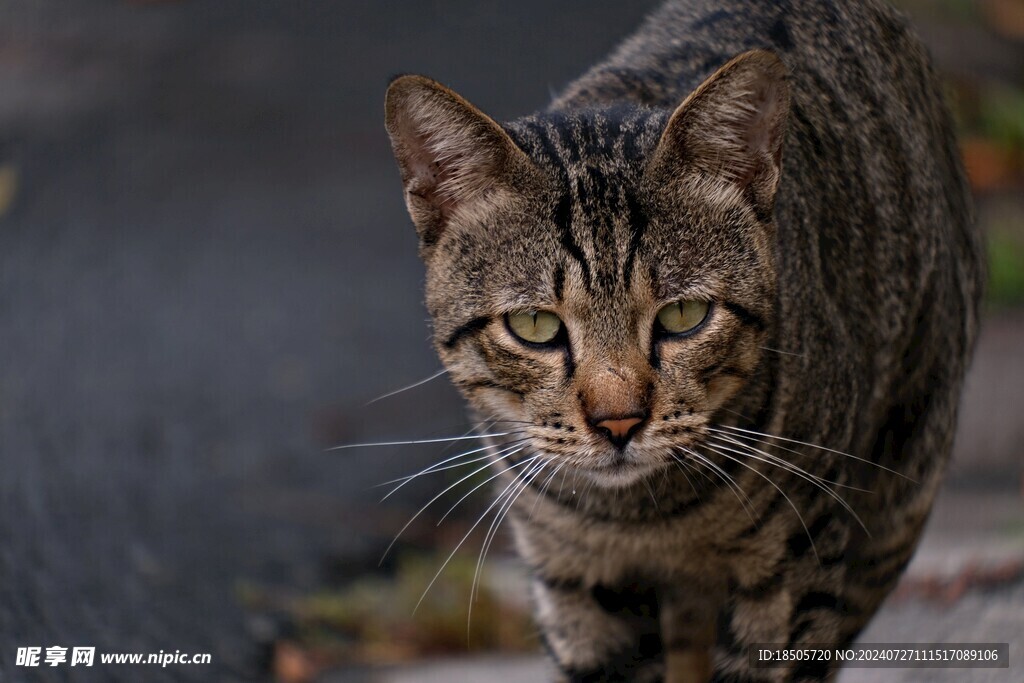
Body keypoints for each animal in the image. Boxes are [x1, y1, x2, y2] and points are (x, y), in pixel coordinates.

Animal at [380, 1, 978, 679]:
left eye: (684, 316)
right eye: (535, 325)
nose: (618, 422)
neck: (643, 521)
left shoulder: (795, 568)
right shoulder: (573, 579)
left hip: (901, 490)